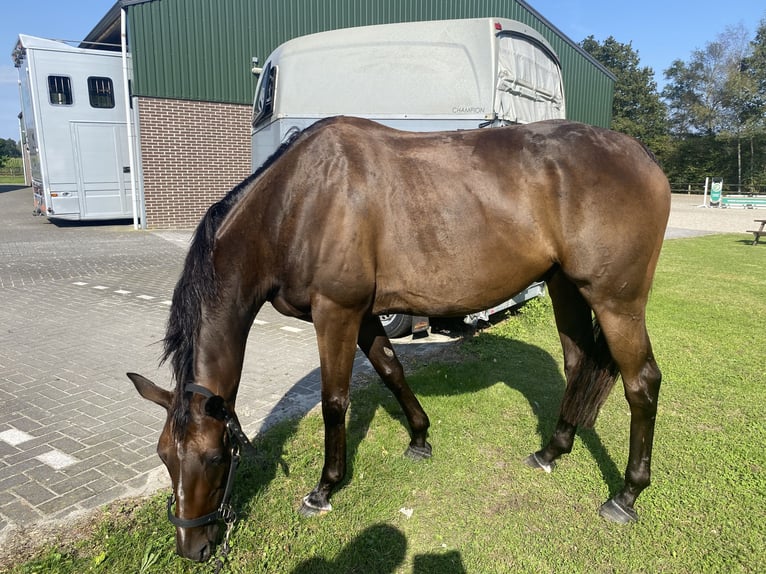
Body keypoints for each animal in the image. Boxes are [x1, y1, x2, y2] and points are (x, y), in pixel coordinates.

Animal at [129, 117, 668, 564]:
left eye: (215, 457)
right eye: (164, 456)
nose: (192, 546)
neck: (295, 204)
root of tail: (642, 157)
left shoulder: (336, 312)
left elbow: (334, 401)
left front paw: (323, 490)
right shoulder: (365, 315)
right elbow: (391, 369)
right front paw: (420, 438)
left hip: (616, 301)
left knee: (642, 383)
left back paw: (625, 496)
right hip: (565, 286)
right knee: (577, 364)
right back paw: (552, 451)